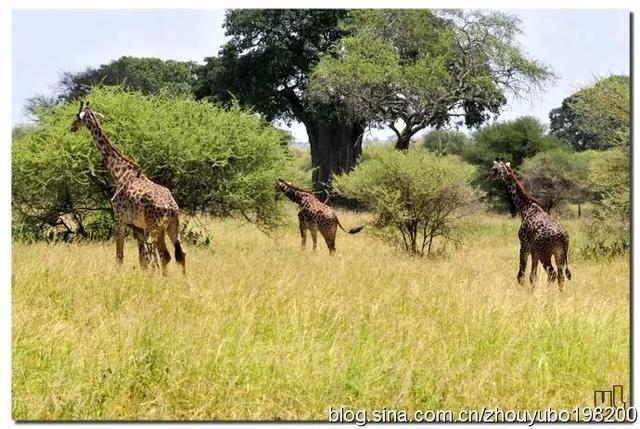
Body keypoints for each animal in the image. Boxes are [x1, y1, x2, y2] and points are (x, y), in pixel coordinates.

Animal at [71, 100, 185, 274]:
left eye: (77, 117)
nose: (71, 127)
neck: (120, 173)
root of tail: (172, 207)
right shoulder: (137, 227)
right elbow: (143, 260)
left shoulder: (119, 219)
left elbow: (120, 255)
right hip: (173, 226)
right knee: (181, 254)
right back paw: (185, 281)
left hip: (156, 227)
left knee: (165, 255)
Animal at [488, 159, 572, 290]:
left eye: (494, 169)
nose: (488, 177)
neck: (525, 207)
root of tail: (563, 236)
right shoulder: (534, 251)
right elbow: (533, 277)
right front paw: (531, 291)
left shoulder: (524, 245)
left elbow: (521, 275)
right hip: (560, 254)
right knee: (560, 277)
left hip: (545, 253)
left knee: (552, 274)